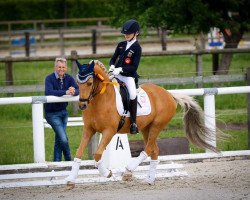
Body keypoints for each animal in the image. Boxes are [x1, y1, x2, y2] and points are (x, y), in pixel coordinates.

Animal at [65, 59, 216, 188]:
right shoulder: (88, 129)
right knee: (154, 150)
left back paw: (128, 171)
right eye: (78, 83)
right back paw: (149, 180)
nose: (82, 105)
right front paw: (70, 180)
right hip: (146, 128)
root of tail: (168, 94)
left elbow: (97, 154)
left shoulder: (109, 131)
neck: (101, 100)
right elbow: (78, 153)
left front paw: (107, 173)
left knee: (148, 149)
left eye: (89, 83)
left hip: (157, 125)